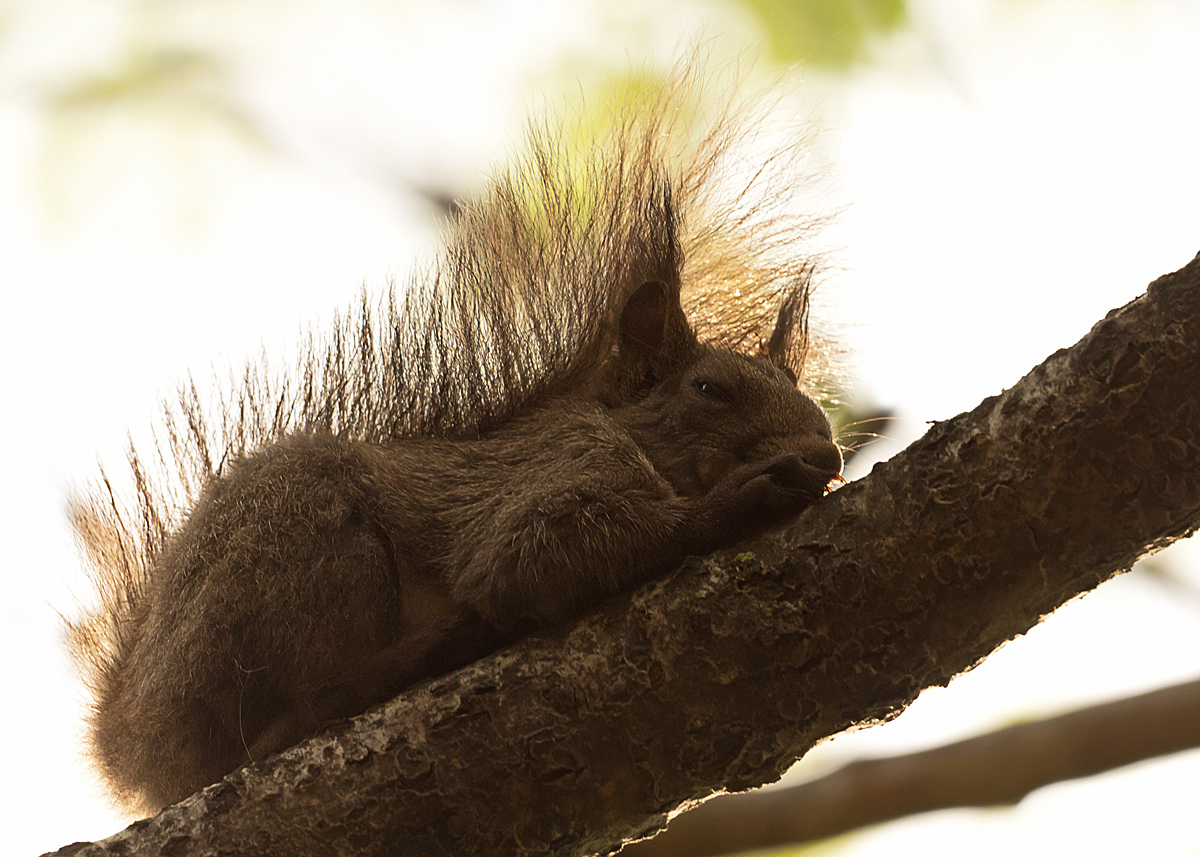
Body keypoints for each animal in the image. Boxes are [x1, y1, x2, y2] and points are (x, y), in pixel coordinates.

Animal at [65, 71, 844, 816]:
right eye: (710, 390)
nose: (828, 454)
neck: (631, 438)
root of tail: (132, 746)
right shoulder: (549, 476)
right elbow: (536, 553)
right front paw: (746, 494)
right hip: (300, 544)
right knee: (300, 713)